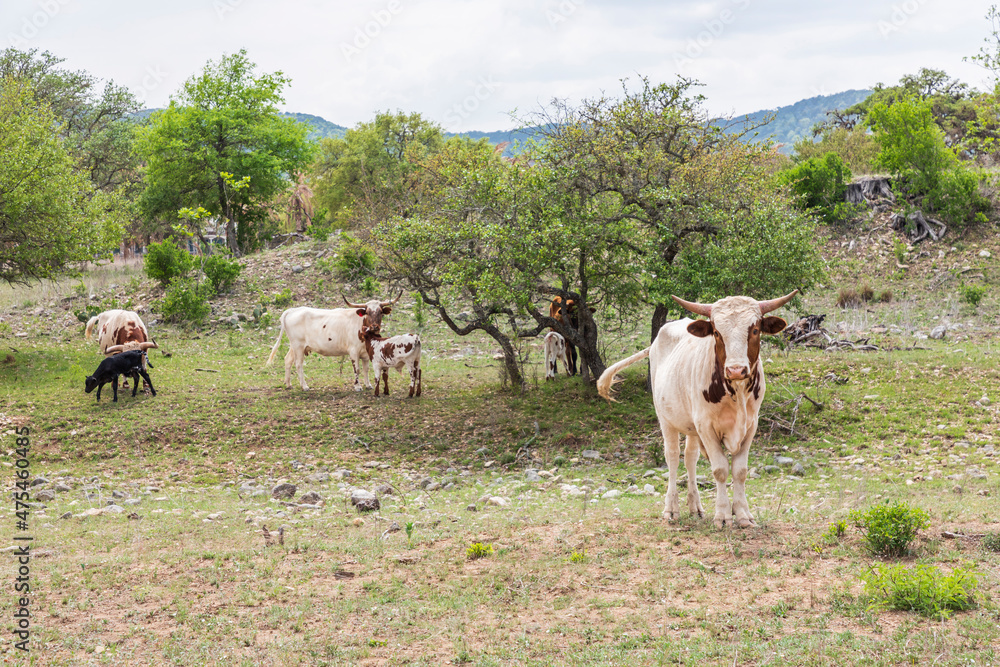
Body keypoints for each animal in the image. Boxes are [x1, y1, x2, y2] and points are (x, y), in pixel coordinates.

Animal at [270, 292, 402, 392]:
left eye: (380, 312)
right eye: (367, 312)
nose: (375, 327)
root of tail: (292, 310)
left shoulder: (365, 353)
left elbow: (366, 369)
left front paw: (368, 385)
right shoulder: (353, 352)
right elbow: (357, 369)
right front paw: (357, 387)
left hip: (294, 346)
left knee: (288, 360)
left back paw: (288, 384)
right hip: (298, 346)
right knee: (298, 364)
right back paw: (304, 386)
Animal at [592, 290, 796, 528]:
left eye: (754, 330)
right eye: (717, 332)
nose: (736, 370)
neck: (736, 393)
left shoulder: (750, 425)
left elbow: (740, 471)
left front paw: (743, 514)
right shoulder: (706, 426)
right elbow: (720, 469)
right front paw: (723, 515)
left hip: (691, 426)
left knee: (690, 458)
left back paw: (695, 506)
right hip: (666, 419)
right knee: (672, 457)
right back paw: (671, 509)